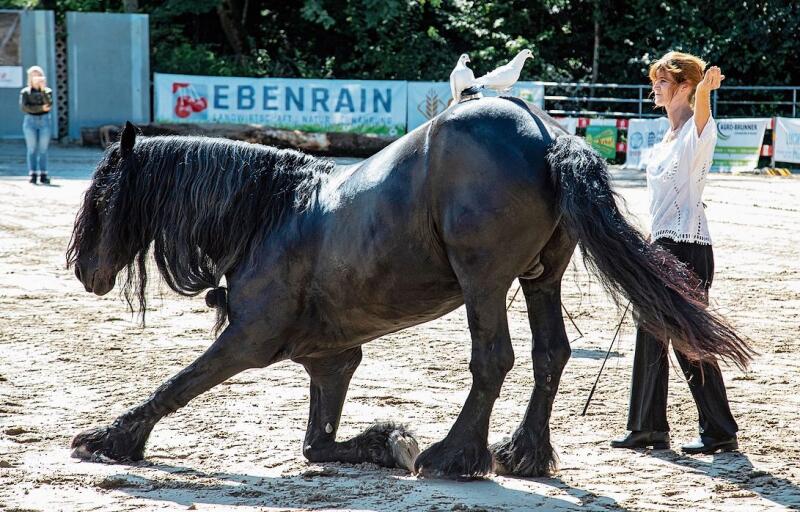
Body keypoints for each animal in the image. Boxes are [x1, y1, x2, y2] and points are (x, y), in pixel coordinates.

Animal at [67, 98, 752, 478]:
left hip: (484, 279)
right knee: (548, 355)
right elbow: (318, 443)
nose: (82, 270)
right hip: (539, 280)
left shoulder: (248, 340)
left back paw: (456, 456)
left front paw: (111, 439)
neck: (272, 213)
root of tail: (548, 133)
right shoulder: (332, 360)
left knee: (493, 359)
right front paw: (383, 442)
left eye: (101, 197)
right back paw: (522, 452)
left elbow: (178, 384)